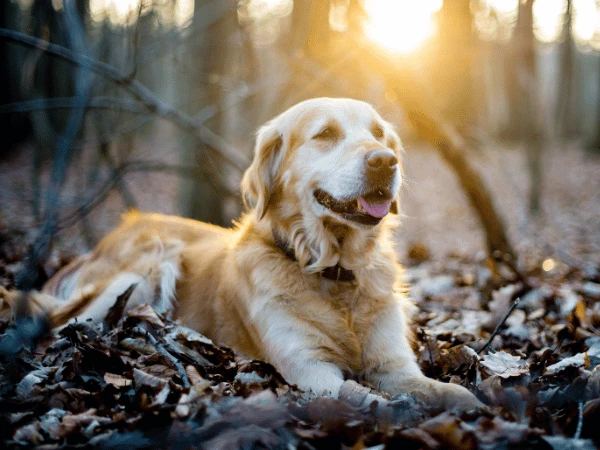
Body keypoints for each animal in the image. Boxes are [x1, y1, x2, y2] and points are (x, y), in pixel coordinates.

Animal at [2, 98, 480, 412]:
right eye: (325, 134)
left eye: (380, 135)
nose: (385, 161)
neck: (332, 270)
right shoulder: (310, 369)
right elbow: (359, 394)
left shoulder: (393, 363)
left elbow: (441, 389)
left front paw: (470, 402)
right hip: (146, 265)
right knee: (60, 324)